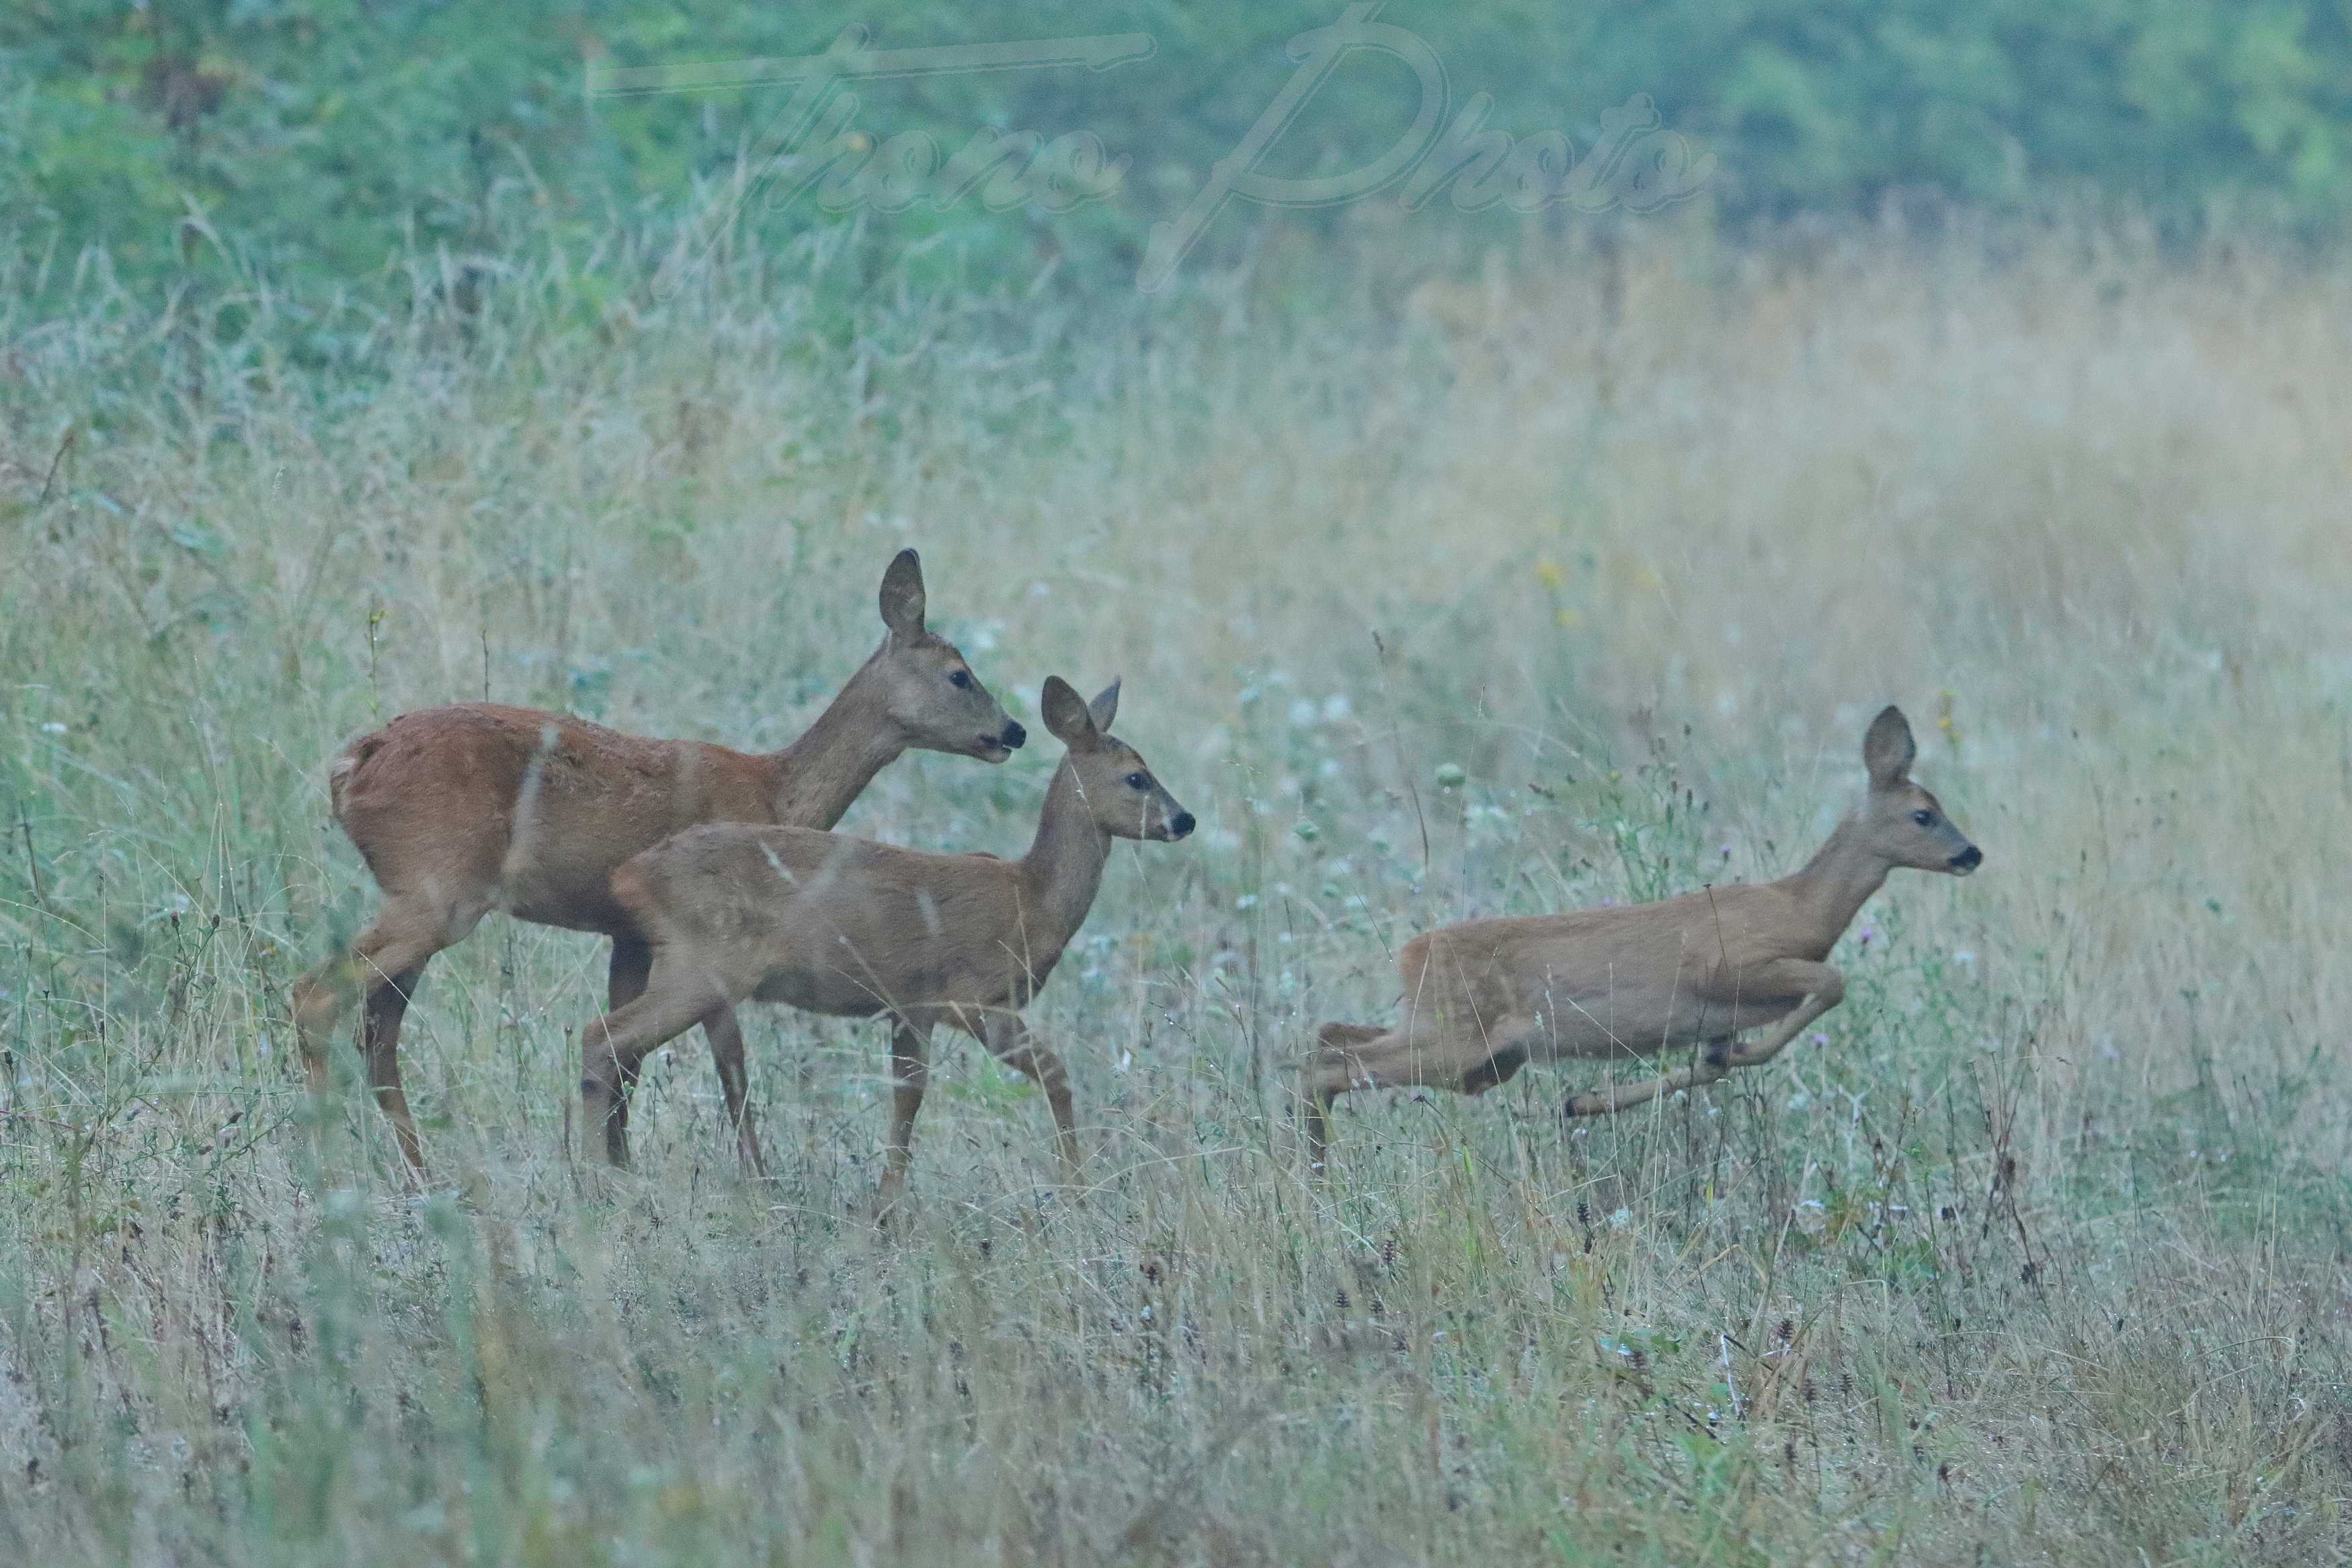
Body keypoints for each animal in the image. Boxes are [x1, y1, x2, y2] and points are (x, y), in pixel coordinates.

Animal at [296, 550, 1030, 1175]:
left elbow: (629, 1064)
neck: (776, 793)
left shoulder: (629, 935)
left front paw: (620, 1166)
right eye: (959, 674)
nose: (1015, 730)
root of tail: (351, 765)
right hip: (437, 889)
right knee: (316, 996)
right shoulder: (714, 931)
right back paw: (331, 1161)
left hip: (422, 896)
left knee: (378, 1031)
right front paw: (754, 1178)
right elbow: (729, 1059)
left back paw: (415, 1170)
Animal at [571, 667, 1194, 1194]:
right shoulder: (974, 998)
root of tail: (632, 874)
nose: (1184, 819)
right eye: (1137, 777)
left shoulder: (911, 1006)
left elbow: (908, 1099)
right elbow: (1056, 1075)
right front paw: (1076, 1184)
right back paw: (596, 1178)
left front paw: (885, 1206)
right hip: (705, 964)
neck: (1033, 897)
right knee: (601, 1035)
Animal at [1307, 710, 1985, 1165]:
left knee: (1329, 1035)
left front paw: (1584, 1100)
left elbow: (1713, 1064)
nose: (1971, 854)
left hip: (1474, 1050)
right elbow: (1831, 982)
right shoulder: (1726, 963)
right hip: (1459, 1037)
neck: (1802, 907)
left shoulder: (1717, 1017)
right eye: (1923, 814)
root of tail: (1410, 952)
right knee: (1327, 1064)